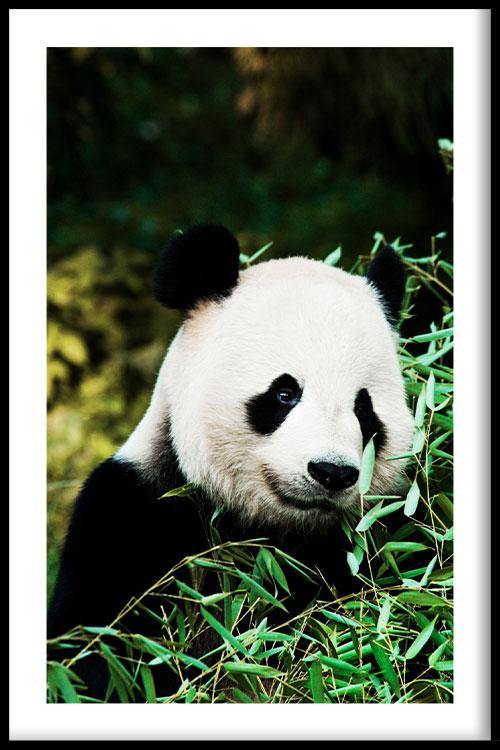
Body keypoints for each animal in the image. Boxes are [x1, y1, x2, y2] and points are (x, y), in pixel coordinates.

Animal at [48, 224, 414, 696]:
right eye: (284, 393)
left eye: (363, 410)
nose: (331, 472)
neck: (269, 534)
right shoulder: (131, 516)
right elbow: (95, 652)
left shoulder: (385, 539)